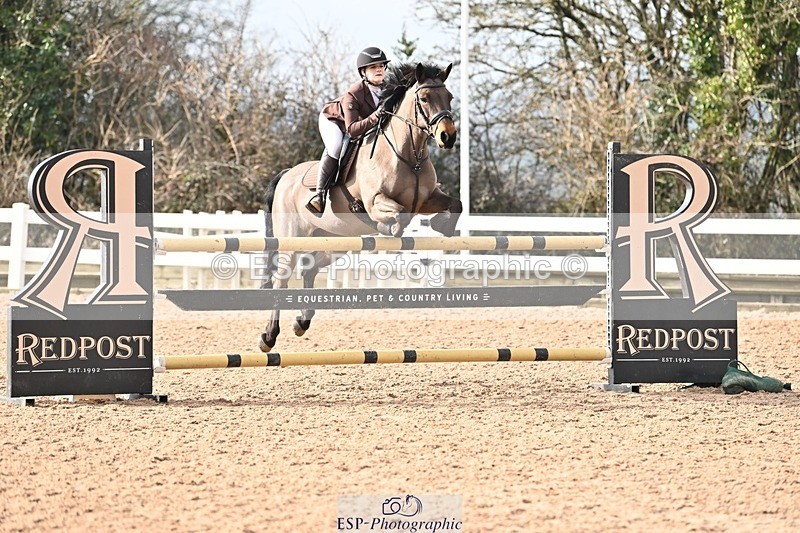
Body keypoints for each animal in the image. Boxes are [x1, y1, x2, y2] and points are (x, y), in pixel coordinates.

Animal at [258, 62, 462, 353]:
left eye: (450, 97)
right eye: (424, 98)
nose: (448, 136)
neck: (408, 155)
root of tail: (286, 175)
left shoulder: (427, 200)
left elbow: (456, 204)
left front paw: (441, 226)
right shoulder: (375, 202)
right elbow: (399, 215)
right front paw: (387, 229)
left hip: (334, 240)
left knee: (310, 269)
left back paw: (302, 322)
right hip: (292, 239)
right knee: (281, 279)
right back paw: (268, 336)